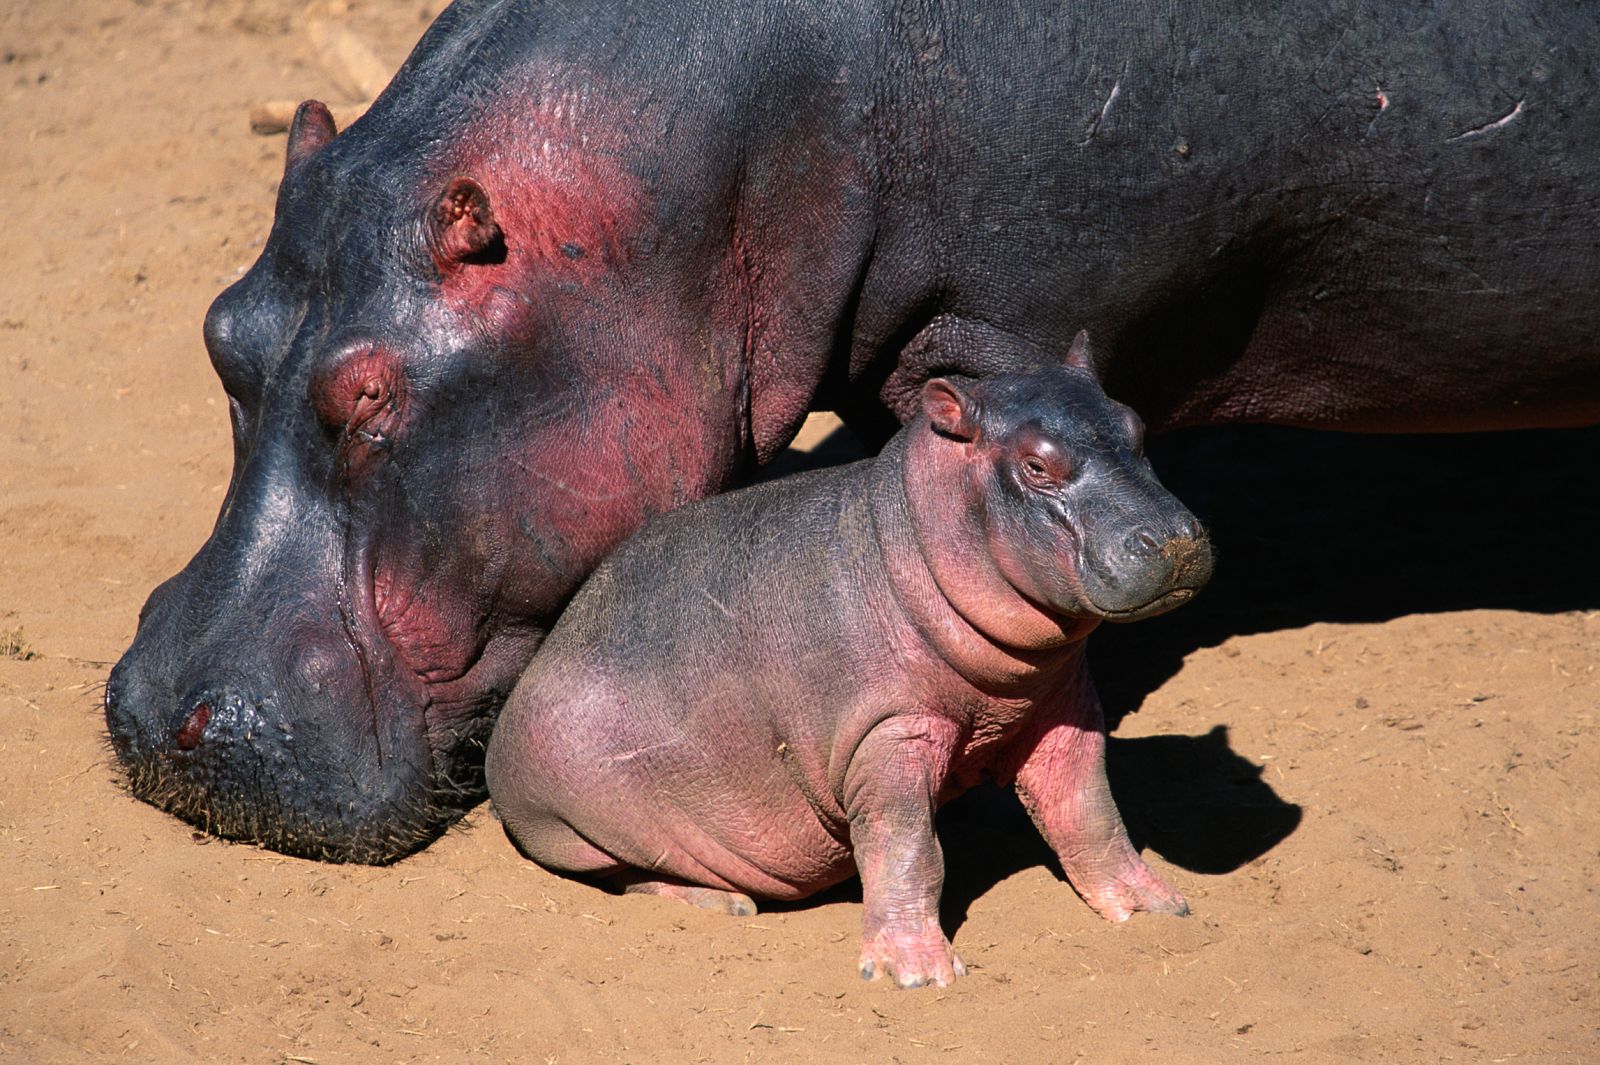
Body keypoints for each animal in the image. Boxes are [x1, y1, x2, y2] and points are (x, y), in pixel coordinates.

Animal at [486, 356, 1209, 985]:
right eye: (1035, 464)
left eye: (1136, 426)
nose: (1177, 539)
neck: (912, 532)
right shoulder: (888, 734)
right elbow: (908, 846)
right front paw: (918, 973)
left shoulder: (1063, 706)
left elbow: (1089, 813)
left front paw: (1160, 910)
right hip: (581, 830)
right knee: (630, 876)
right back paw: (729, 904)